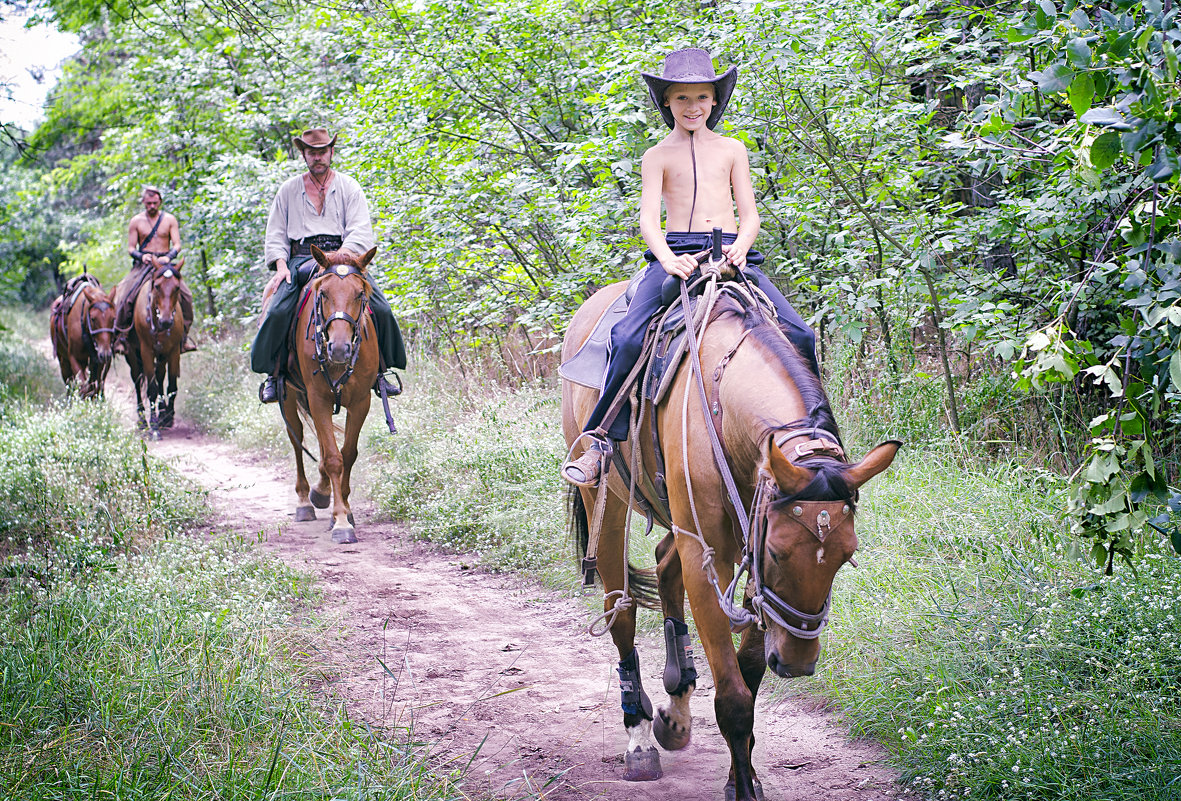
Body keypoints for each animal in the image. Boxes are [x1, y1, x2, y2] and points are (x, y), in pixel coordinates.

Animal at [117, 257, 188, 439]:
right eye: (157, 286)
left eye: (177, 287)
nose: (166, 321)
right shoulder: (146, 351)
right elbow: (151, 389)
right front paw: (154, 426)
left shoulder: (173, 351)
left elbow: (171, 385)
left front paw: (167, 417)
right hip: (132, 354)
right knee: (137, 380)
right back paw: (143, 421)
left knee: (160, 376)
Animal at [266, 244, 377, 545]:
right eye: (323, 293)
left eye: (359, 294)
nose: (339, 349)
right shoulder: (318, 400)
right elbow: (333, 459)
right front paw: (340, 522)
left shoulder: (361, 402)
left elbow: (346, 454)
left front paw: (346, 510)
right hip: (290, 397)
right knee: (297, 440)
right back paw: (306, 501)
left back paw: (321, 490)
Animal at [562, 277, 902, 801]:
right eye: (779, 553)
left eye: (847, 557)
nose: (798, 664)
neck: (724, 413)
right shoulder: (717, 556)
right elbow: (734, 698)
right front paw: (741, 786)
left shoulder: (747, 550)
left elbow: (749, 673)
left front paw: (744, 775)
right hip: (607, 500)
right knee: (620, 610)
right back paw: (639, 738)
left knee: (664, 564)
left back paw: (676, 704)